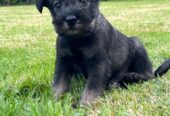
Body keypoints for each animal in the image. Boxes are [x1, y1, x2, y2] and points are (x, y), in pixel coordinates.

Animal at [36, 0, 170, 105]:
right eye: (57, 4)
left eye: (84, 1)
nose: (71, 19)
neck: (78, 39)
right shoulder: (63, 61)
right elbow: (59, 84)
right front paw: (53, 102)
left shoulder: (98, 63)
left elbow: (92, 87)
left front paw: (85, 104)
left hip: (137, 46)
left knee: (149, 75)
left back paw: (133, 77)